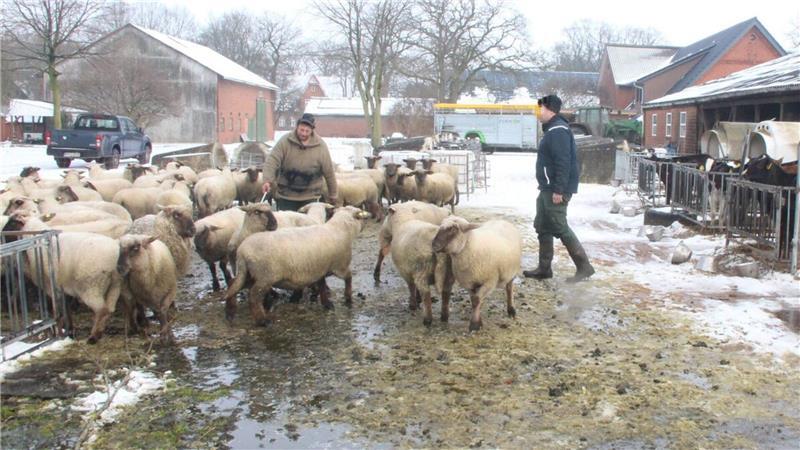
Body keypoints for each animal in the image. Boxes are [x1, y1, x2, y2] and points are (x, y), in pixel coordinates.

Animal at [2, 211, 122, 344]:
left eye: (12, 223)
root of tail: (114, 255)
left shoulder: (52, 287)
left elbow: (59, 309)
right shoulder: (63, 287)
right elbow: (66, 308)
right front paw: (69, 330)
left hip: (90, 286)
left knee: (102, 310)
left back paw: (94, 337)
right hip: (115, 285)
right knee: (110, 309)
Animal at [223, 206, 371, 325]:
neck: (341, 229)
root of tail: (242, 252)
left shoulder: (319, 269)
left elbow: (322, 285)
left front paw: (327, 304)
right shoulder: (339, 266)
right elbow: (349, 278)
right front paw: (348, 298)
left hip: (248, 274)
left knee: (232, 284)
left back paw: (230, 312)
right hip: (265, 277)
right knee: (253, 296)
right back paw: (262, 320)